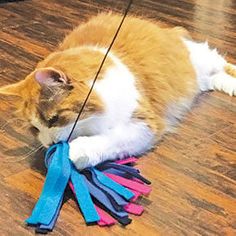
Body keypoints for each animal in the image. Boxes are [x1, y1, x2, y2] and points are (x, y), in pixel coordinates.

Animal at [0, 12, 236, 170]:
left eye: (53, 120)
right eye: (35, 128)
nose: (49, 144)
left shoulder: (144, 122)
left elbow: (112, 138)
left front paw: (78, 151)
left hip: (203, 60)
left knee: (224, 65)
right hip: (202, 77)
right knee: (217, 77)